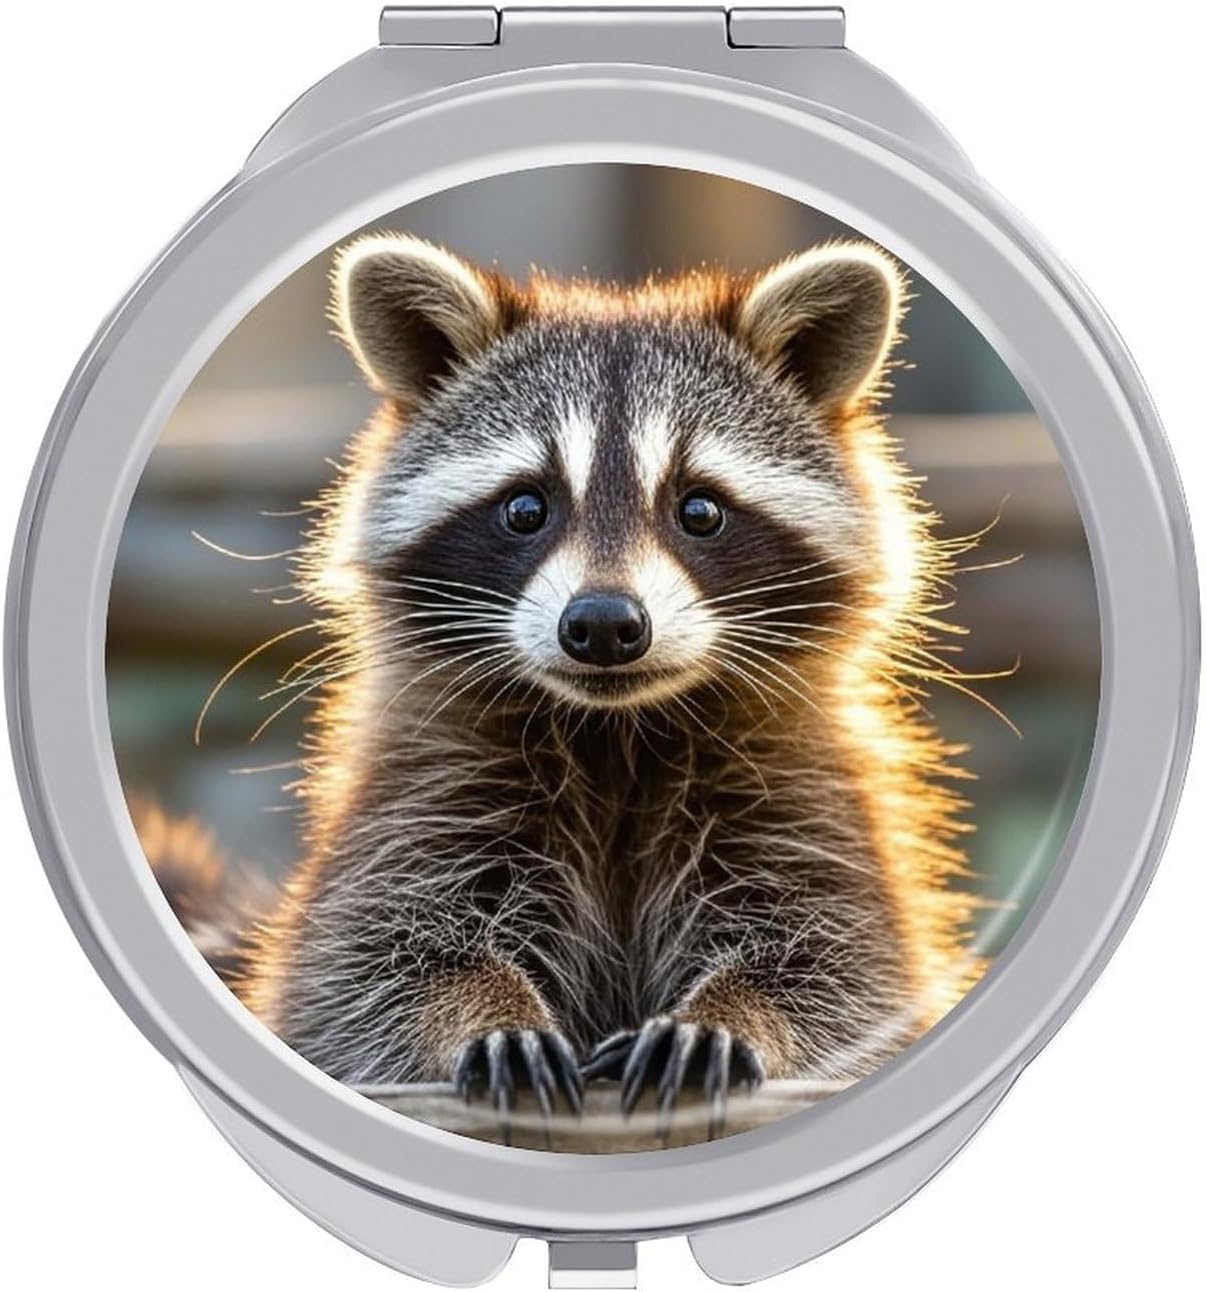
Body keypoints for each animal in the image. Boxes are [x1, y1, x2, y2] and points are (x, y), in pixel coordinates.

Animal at [161, 233, 983, 1127]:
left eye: (698, 510)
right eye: (527, 507)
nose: (603, 624)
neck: (617, 733)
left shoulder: (809, 805)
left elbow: (841, 971)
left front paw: (728, 1017)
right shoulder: (416, 803)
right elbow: (371, 968)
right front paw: (484, 1011)